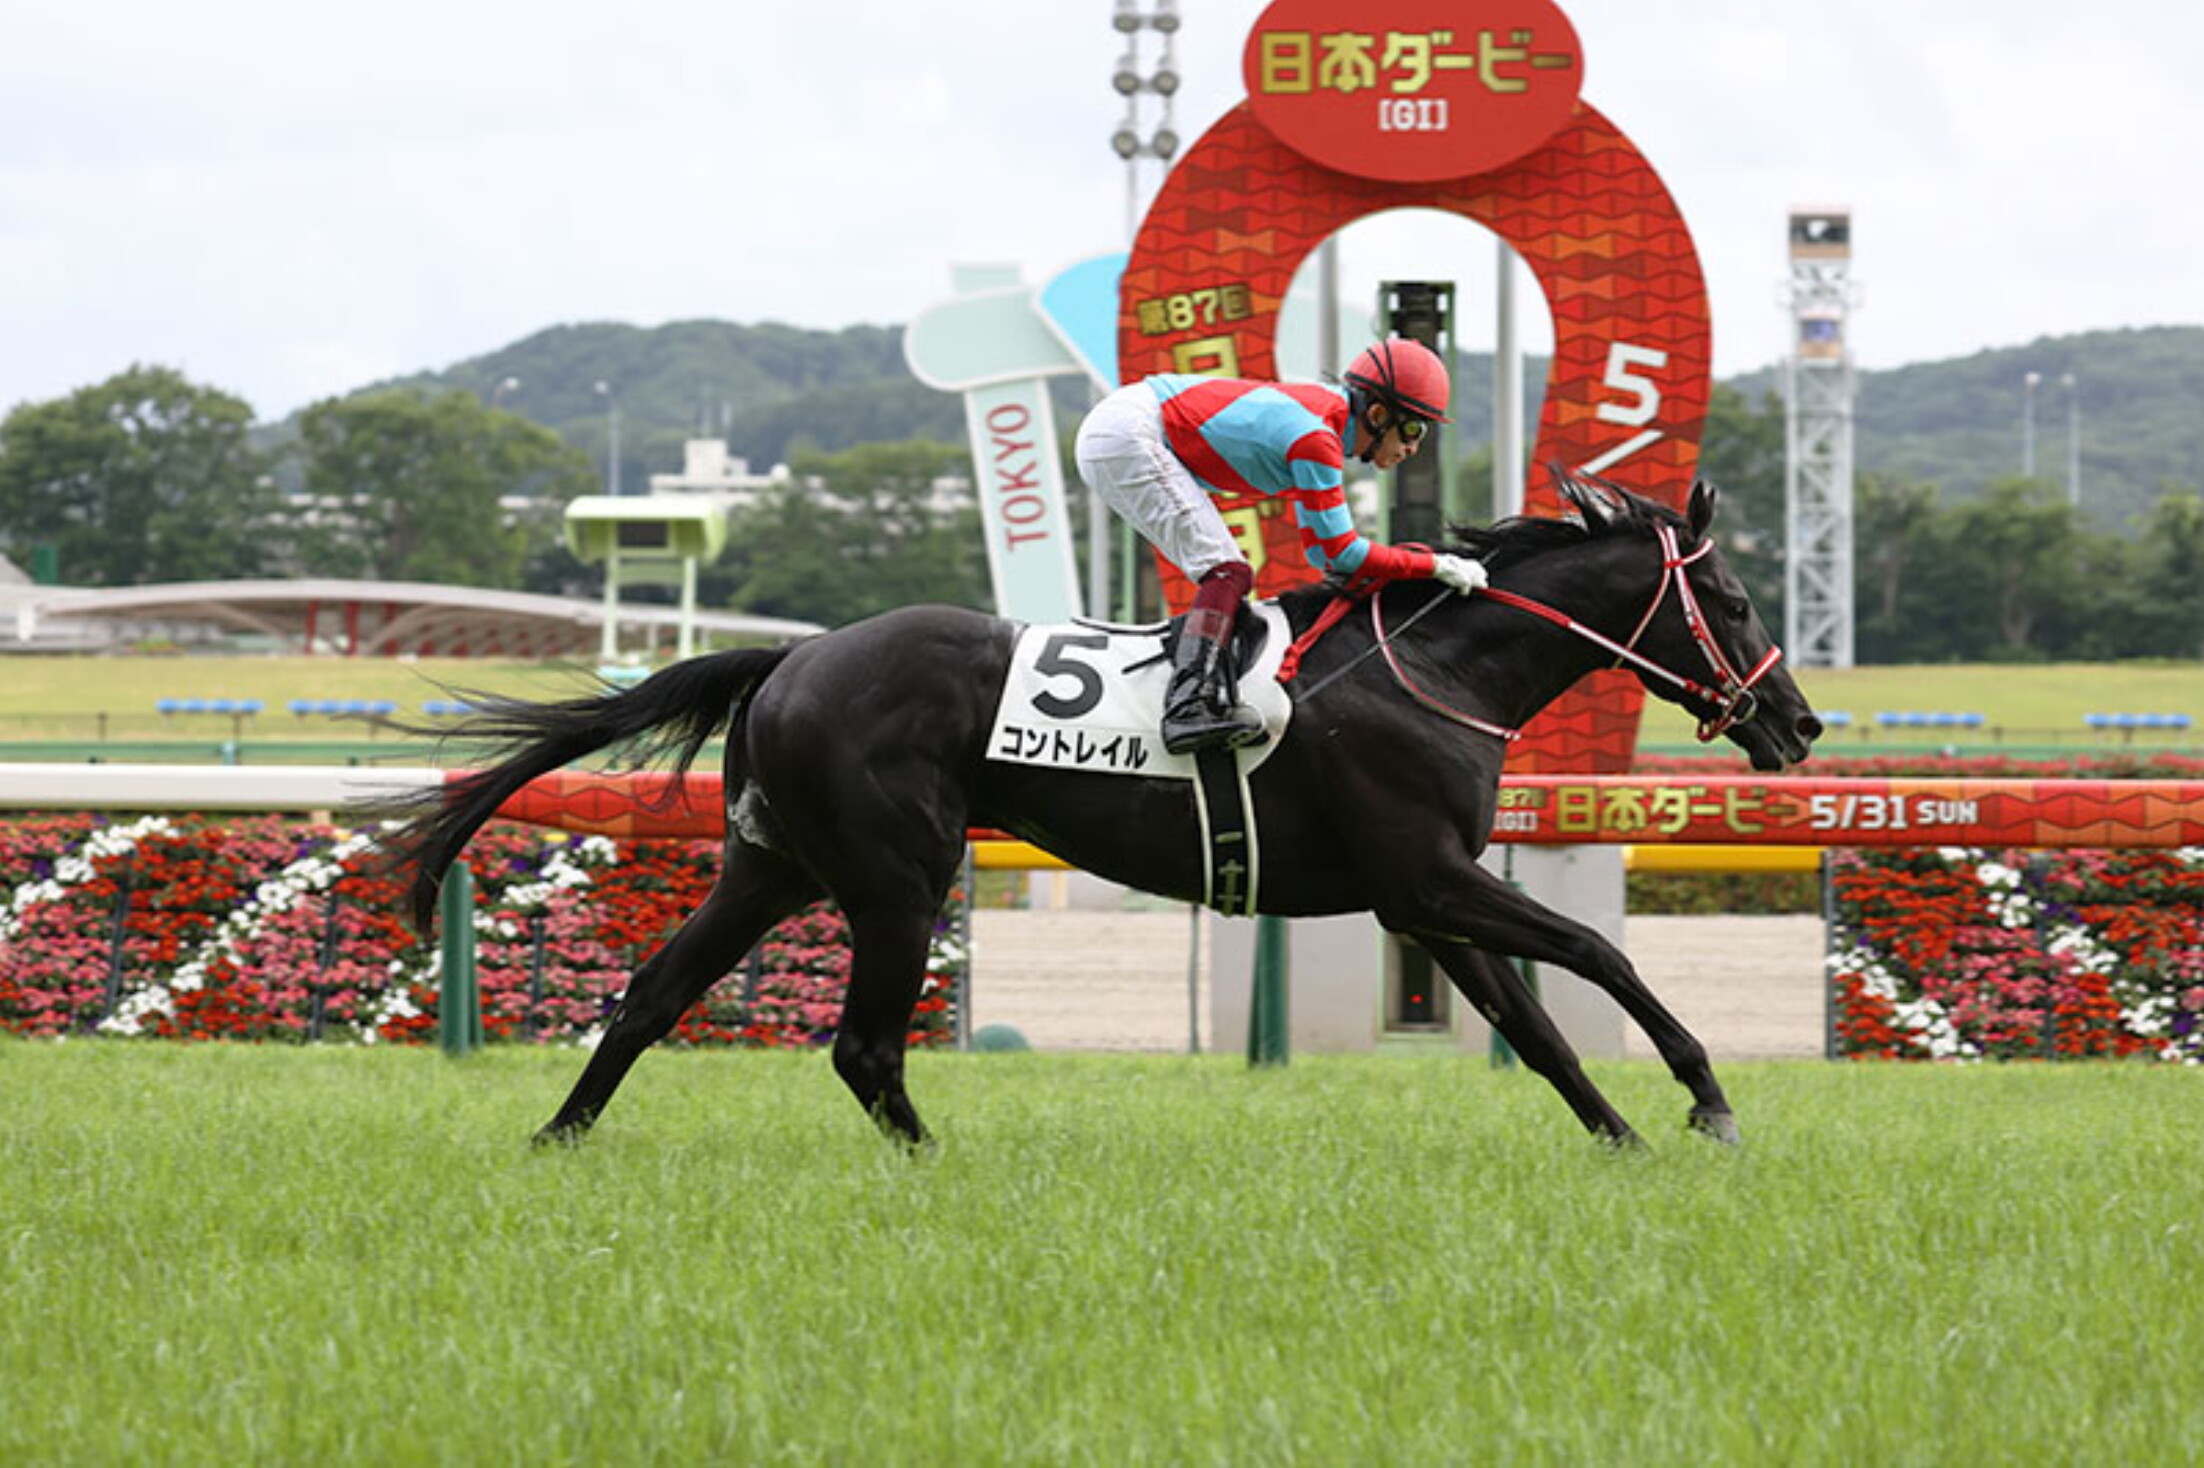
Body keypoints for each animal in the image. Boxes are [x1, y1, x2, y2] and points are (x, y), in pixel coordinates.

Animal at [383, 469, 1824, 1146]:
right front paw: (1705, 1099)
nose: (1799, 724)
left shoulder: (1422, 899)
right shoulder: (1424, 878)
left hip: (771, 867)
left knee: (651, 996)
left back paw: (555, 1141)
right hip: (899, 877)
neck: (1433, 672)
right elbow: (1592, 955)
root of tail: (789, 657)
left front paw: (1623, 1138)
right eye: (1735, 598)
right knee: (861, 1049)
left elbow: (1539, 1029)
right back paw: (939, 1169)